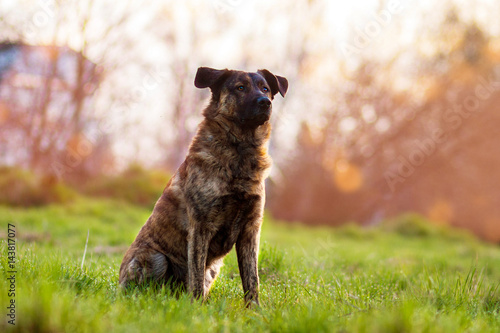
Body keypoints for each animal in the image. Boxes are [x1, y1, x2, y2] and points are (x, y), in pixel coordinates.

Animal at [118, 66, 288, 304]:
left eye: (265, 89)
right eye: (240, 87)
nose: (265, 102)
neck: (240, 150)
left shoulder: (250, 230)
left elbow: (252, 278)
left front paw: (255, 309)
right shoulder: (201, 226)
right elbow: (195, 275)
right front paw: (196, 307)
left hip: (212, 269)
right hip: (156, 257)